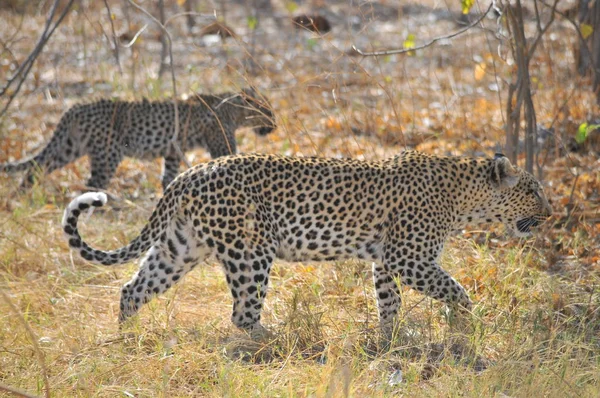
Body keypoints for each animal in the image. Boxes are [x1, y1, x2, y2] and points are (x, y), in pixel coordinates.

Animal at [1, 87, 274, 193]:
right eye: (267, 111)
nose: (274, 126)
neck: (234, 110)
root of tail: (76, 107)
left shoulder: (172, 152)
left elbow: (168, 176)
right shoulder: (221, 144)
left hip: (69, 148)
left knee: (35, 169)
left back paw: (22, 196)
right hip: (108, 154)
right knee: (93, 183)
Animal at [62, 151, 552, 338]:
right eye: (532, 190)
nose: (550, 213)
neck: (465, 197)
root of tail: (190, 172)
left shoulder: (386, 261)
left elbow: (388, 301)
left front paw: (392, 337)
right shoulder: (408, 257)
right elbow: (457, 289)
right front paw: (466, 324)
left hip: (179, 247)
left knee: (132, 289)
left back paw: (128, 339)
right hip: (250, 252)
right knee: (242, 314)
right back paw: (281, 339)